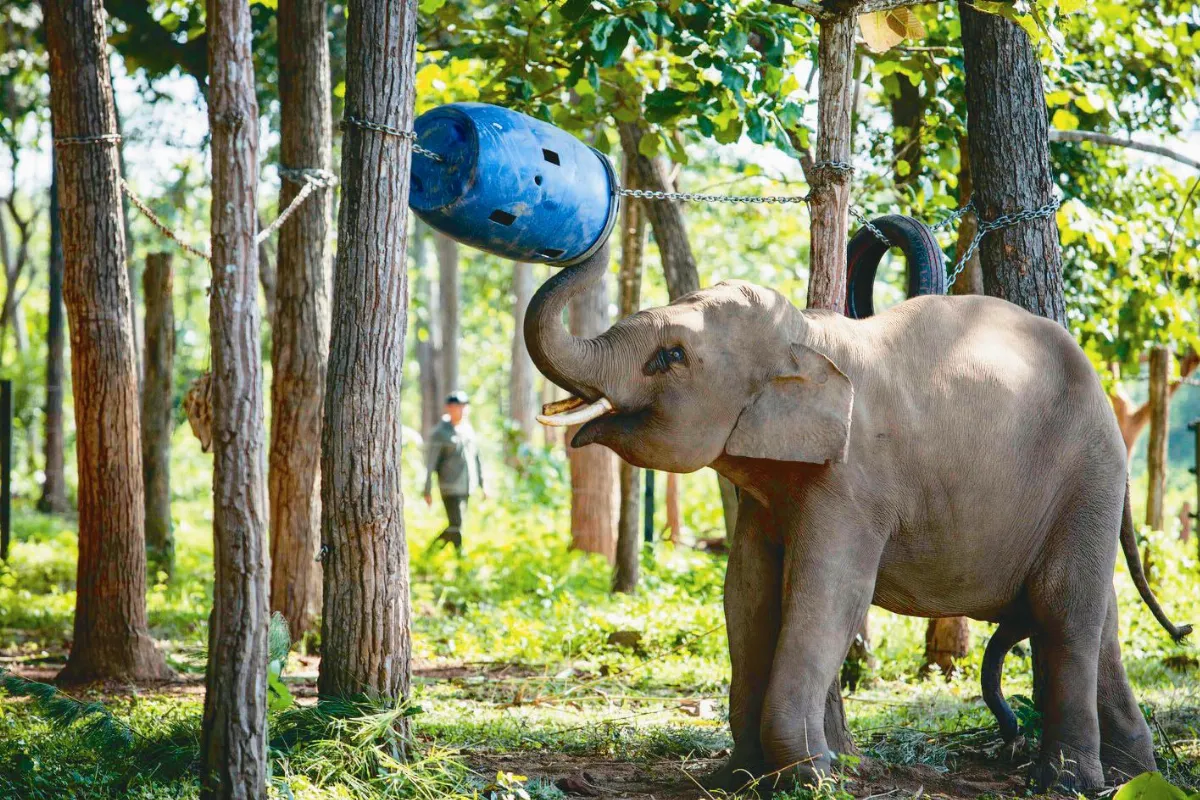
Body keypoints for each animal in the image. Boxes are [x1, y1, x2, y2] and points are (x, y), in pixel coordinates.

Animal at [525, 234, 1190, 792]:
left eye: (670, 357)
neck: (813, 337)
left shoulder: (854, 482)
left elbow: (829, 591)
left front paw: (810, 778)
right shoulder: (772, 489)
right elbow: (746, 593)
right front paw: (738, 776)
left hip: (1086, 475)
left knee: (1064, 608)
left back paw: (1067, 783)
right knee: (1097, 613)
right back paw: (1135, 773)